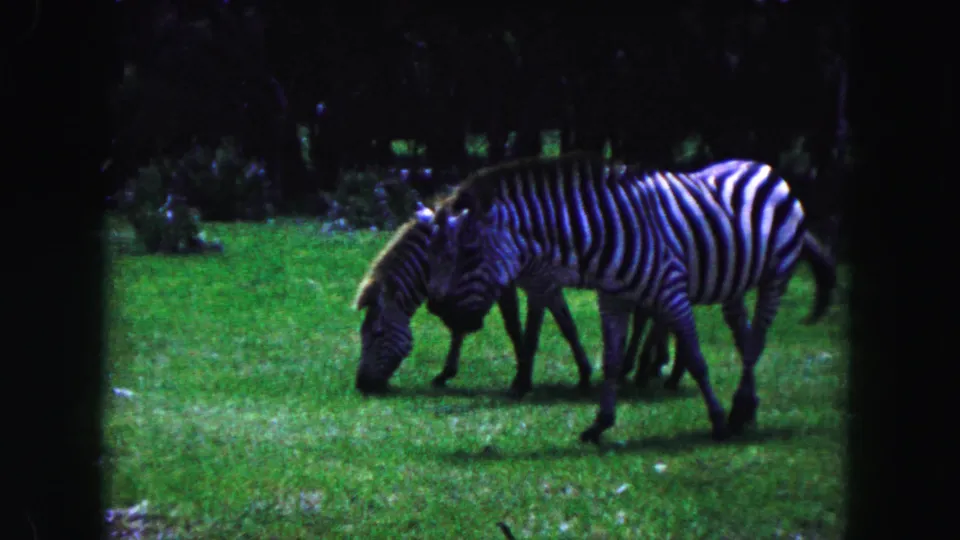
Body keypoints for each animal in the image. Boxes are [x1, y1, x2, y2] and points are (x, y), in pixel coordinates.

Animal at [353, 205, 675, 396]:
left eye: (376, 333)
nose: (361, 386)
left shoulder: (519, 282)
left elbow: (517, 325)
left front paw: (523, 374)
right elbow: (561, 324)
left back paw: (642, 368)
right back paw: (652, 364)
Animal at [424, 153, 836, 444]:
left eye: (470, 253)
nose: (440, 311)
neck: (608, 232)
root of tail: (761, 165)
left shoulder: (671, 292)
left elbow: (697, 359)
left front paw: (717, 421)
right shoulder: (612, 299)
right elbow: (610, 361)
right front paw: (600, 424)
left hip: (776, 276)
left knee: (756, 341)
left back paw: (736, 411)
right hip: (732, 284)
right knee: (743, 332)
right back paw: (746, 408)